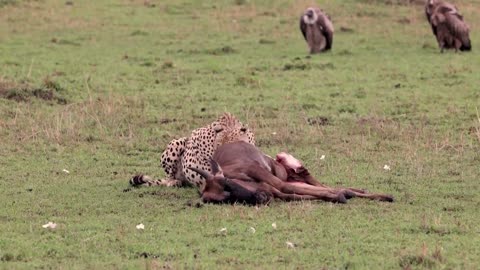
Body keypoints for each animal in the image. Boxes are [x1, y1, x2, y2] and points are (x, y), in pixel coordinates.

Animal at [188, 141, 394, 205]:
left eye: (228, 185)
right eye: (227, 200)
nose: (261, 198)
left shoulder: (268, 180)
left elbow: (286, 187)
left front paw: (342, 195)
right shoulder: (276, 192)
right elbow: (294, 195)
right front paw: (340, 196)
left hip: (291, 174)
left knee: (317, 182)